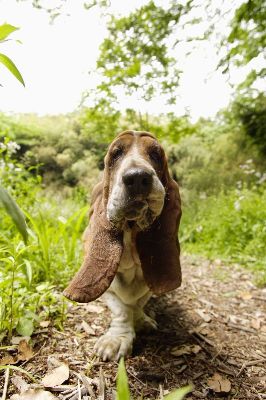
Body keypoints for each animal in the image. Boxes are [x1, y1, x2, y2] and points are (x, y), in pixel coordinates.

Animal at [64, 130, 183, 360]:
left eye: (155, 154)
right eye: (116, 153)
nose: (137, 177)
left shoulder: (147, 284)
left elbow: (137, 303)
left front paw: (142, 320)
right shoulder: (108, 287)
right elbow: (121, 309)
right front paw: (117, 339)